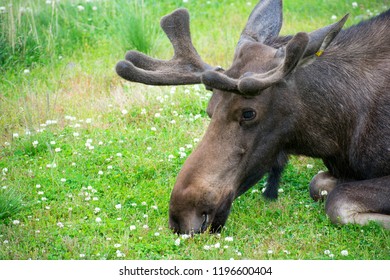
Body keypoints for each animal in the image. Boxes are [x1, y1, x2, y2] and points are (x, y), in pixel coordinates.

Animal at [116, 0, 390, 234]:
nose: (182, 215)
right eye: (210, 109)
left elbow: (337, 200)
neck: (340, 134)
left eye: (248, 113)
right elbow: (319, 183)